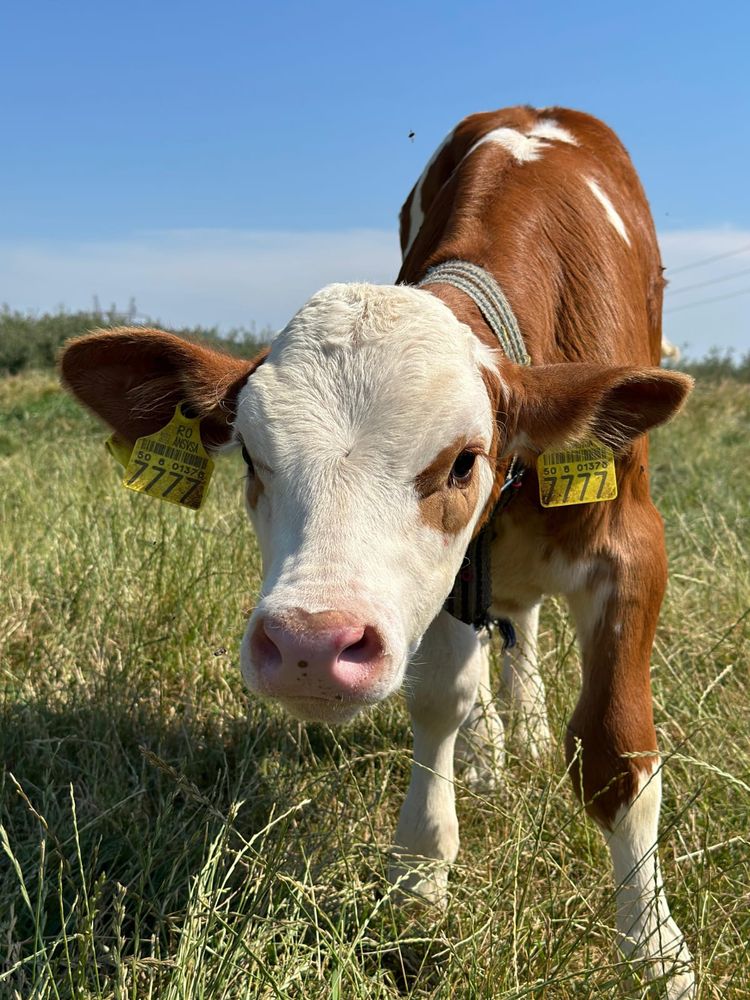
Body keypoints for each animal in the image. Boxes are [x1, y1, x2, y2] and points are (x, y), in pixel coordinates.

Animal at [60, 105, 695, 996]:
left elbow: (616, 750)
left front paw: (656, 950)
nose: (309, 646)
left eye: (463, 460)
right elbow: (438, 698)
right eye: (250, 457)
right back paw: (491, 755)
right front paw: (421, 872)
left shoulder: (633, 545)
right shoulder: (453, 579)